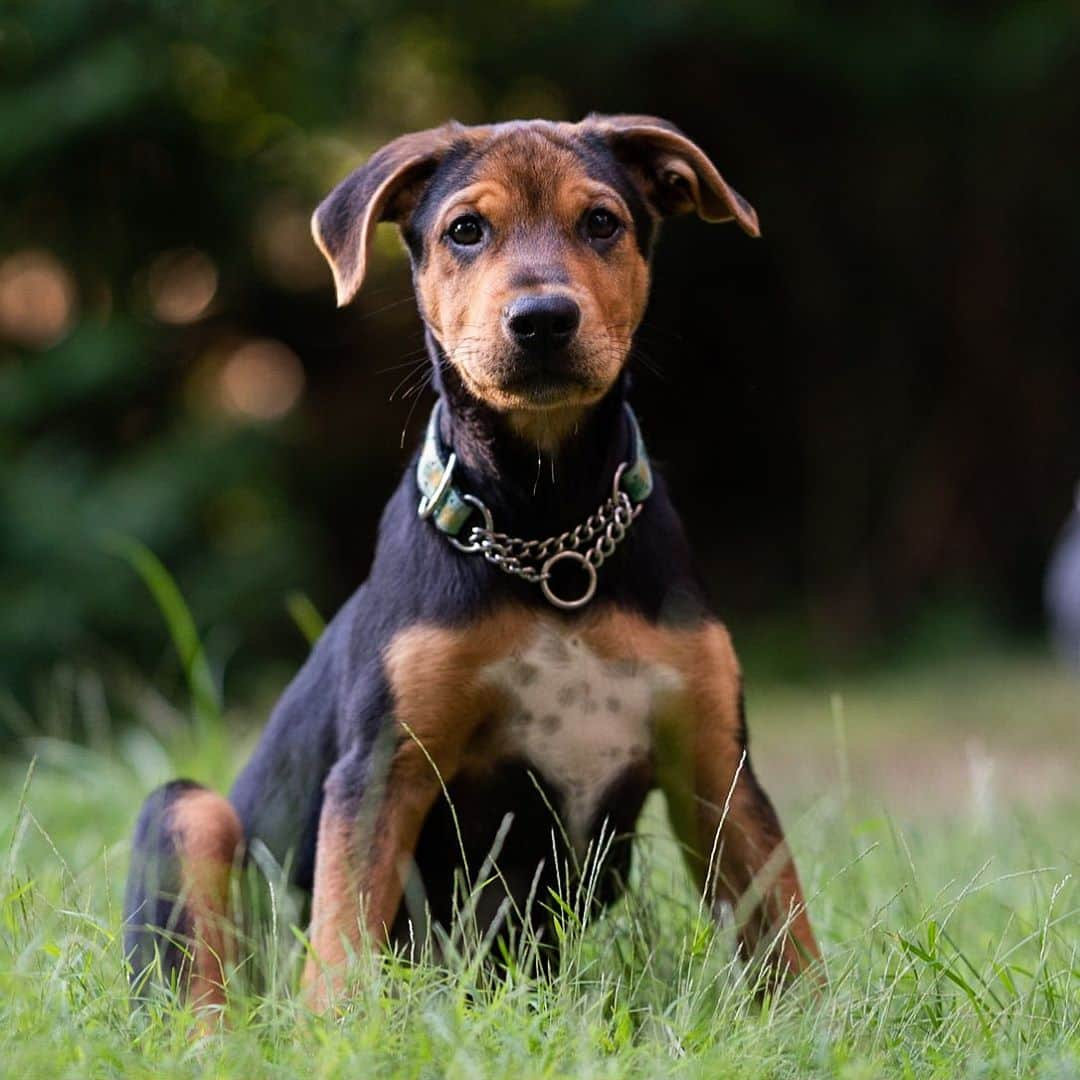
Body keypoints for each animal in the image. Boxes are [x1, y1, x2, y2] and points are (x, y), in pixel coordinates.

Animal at [122, 116, 816, 1010]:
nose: (543, 319)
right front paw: (333, 1032)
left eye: (602, 223)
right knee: (200, 986)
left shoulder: (715, 766)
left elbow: (787, 927)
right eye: (465, 230)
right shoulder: (382, 767)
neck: (550, 536)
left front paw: (827, 1021)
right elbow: (342, 939)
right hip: (188, 814)